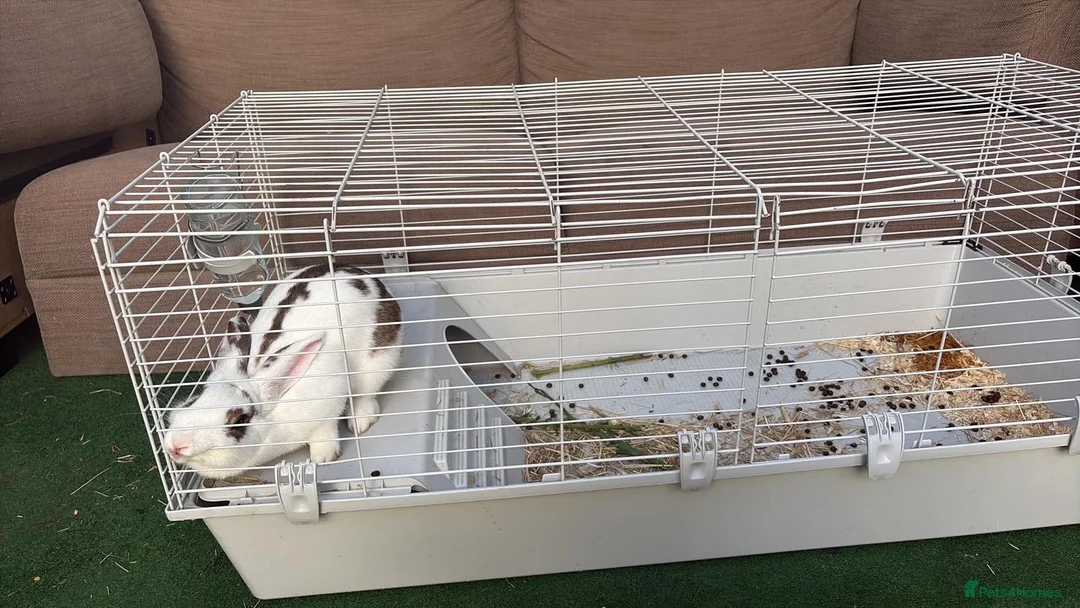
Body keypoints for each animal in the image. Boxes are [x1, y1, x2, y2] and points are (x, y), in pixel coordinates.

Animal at [162, 264, 402, 479]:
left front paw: (323, 457)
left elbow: (324, 433)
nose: (176, 445)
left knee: (365, 395)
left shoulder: (327, 405)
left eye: (239, 420)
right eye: (193, 401)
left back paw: (359, 422)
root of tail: (367, 276)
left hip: (377, 363)